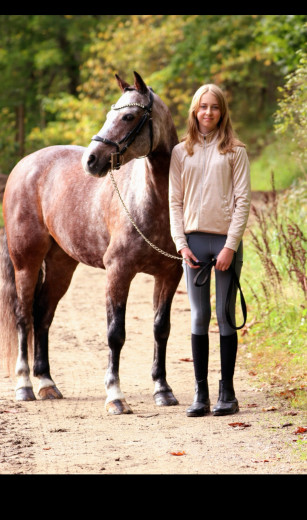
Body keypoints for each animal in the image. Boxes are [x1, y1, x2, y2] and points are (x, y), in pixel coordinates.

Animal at [0, 72, 183, 414]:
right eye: (110, 114)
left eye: (128, 116)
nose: (92, 160)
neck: (152, 202)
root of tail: (24, 165)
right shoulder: (118, 272)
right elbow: (115, 334)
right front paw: (115, 396)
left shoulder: (169, 275)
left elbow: (161, 329)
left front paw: (163, 390)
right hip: (26, 263)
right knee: (23, 316)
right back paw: (25, 385)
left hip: (61, 265)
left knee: (42, 315)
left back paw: (46, 383)